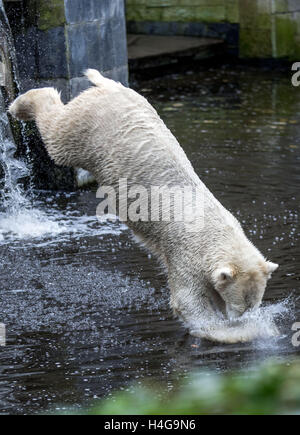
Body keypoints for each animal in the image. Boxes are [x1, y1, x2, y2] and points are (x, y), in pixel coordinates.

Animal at [8, 70, 278, 344]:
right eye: (241, 306)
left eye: (253, 305)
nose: (240, 317)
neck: (216, 231)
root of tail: (109, 85)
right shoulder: (185, 251)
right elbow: (188, 300)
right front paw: (233, 332)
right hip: (89, 131)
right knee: (57, 136)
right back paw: (20, 105)